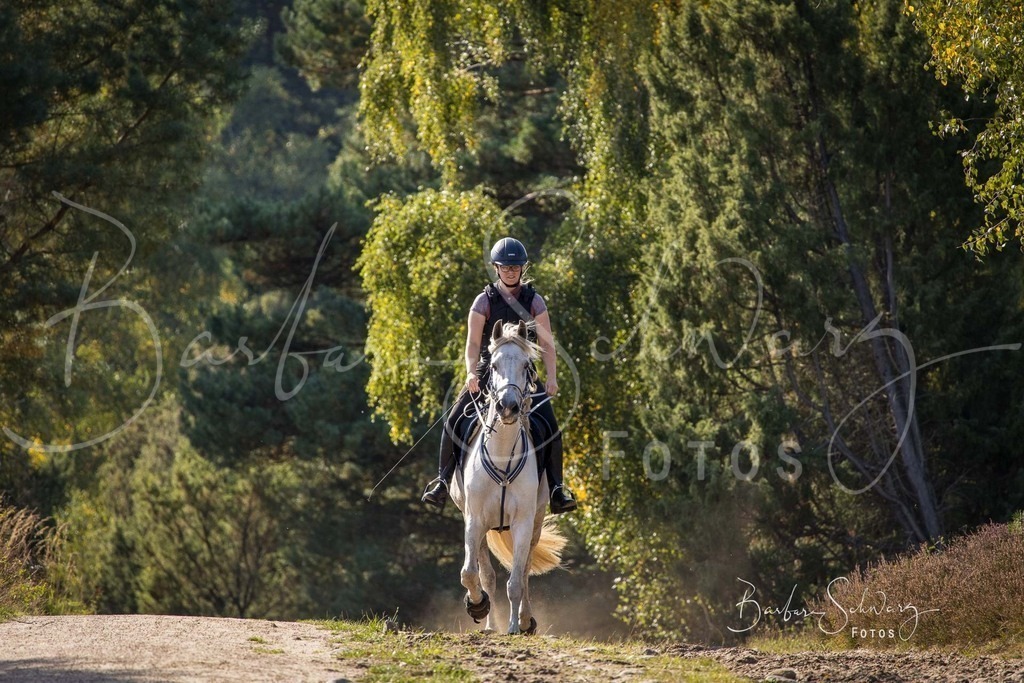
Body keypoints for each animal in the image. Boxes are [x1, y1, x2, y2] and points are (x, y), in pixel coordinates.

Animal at [449, 320, 567, 635]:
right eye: (493, 365)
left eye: (527, 365)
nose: (508, 407)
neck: (502, 452)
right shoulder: (474, 519)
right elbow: (470, 573)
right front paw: (477, 605)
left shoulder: (523, 522)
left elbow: (516, 579)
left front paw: (515, 626)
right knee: (486, 574)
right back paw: (489, 624)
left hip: (535, 521)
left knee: (523, 572)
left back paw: (524, 620)